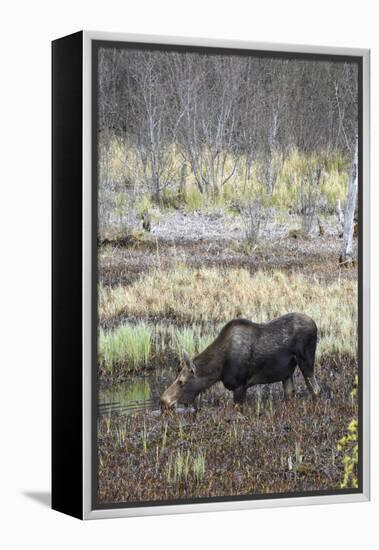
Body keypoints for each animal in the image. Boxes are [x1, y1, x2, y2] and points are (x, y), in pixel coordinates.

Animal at [160, 312, 320, 412]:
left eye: (181, 381)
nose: (163, 401)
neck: (218, 370)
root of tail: (315, 325)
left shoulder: (240, 385)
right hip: (287, 373)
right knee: (290, 393)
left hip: (306, 361)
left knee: (316, 389)